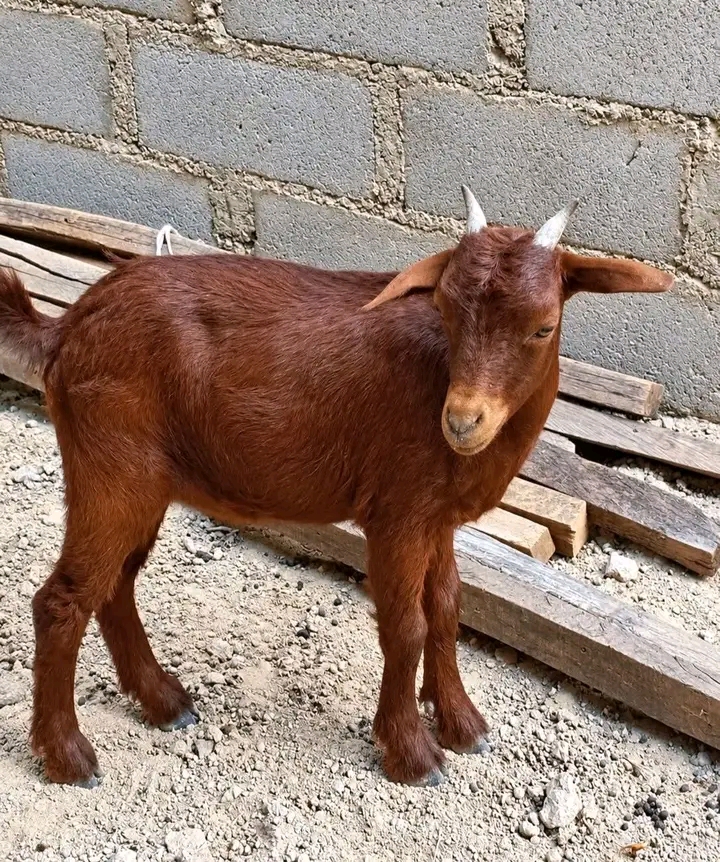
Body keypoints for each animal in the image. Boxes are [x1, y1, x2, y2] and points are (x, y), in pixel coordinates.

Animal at [0, 187, 672, 788]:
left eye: (543, 328)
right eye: (448, 312)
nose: (461, 422)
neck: (436, 378)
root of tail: (68, 326)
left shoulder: (435, 515)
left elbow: (448, 608)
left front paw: (462, 724)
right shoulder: (397, 512)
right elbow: (406, 625)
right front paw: (414, 755)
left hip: (141, 482)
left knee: (114, 586)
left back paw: (165, 703)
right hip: (111, 469)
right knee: (62, 601)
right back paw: (68, 757)